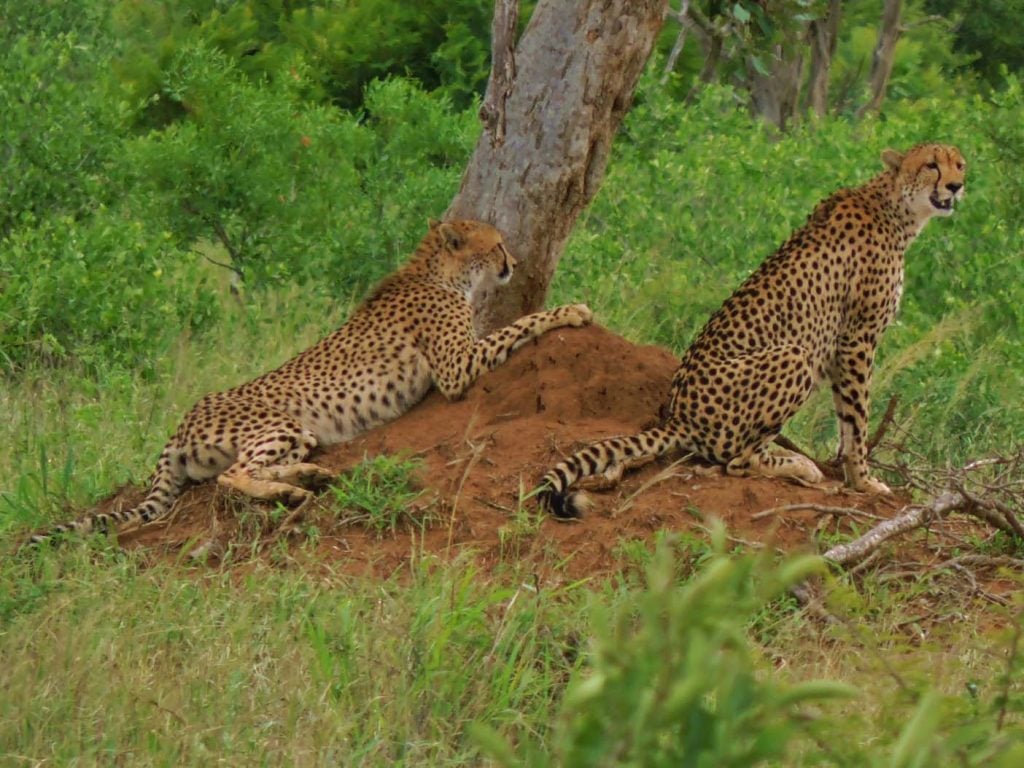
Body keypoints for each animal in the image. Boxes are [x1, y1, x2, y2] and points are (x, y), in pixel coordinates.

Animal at [29, 219, 593, 544]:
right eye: (497, 245)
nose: (514, 262)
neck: (442, 272)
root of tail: (183, 420)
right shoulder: (457, 368)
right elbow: (521, 324)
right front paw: (571, 310)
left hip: (296, 433)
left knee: (246, 470)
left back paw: (307, 478)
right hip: (280, 423)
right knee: (232, 476)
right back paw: (291, 490)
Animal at [540, 141, 962, 520]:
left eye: (959, 164)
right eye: (931, 165)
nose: (957, 186)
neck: (895, 208)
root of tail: (678, 417)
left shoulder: (843, 346)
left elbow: (845, 416)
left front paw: (850, 471)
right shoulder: (857, 339)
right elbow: (857, 418)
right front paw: (863, 480)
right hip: (793, 356)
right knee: (736, 461)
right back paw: (798, 465)